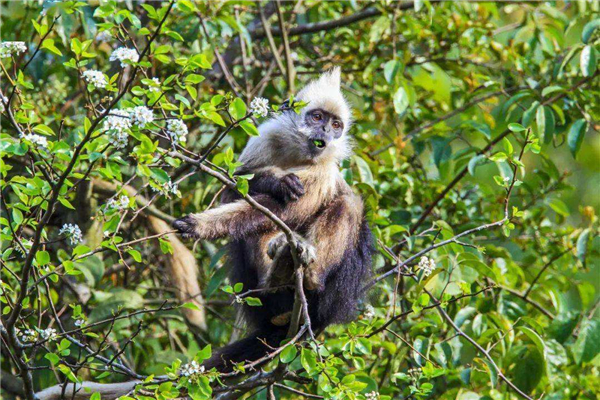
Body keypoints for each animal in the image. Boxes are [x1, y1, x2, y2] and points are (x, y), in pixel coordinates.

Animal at [171, 67, 372, 370]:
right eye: (317, 117)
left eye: (336, 125)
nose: (326, 131)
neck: (298, 155)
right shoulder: (264, 138)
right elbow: (234, 188)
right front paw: (276, 181)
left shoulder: (325, 170)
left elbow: (292, 208)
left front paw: (199, 225)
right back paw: (277, 279)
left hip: (332, 293)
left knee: (348, 203)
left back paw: (309, 276)